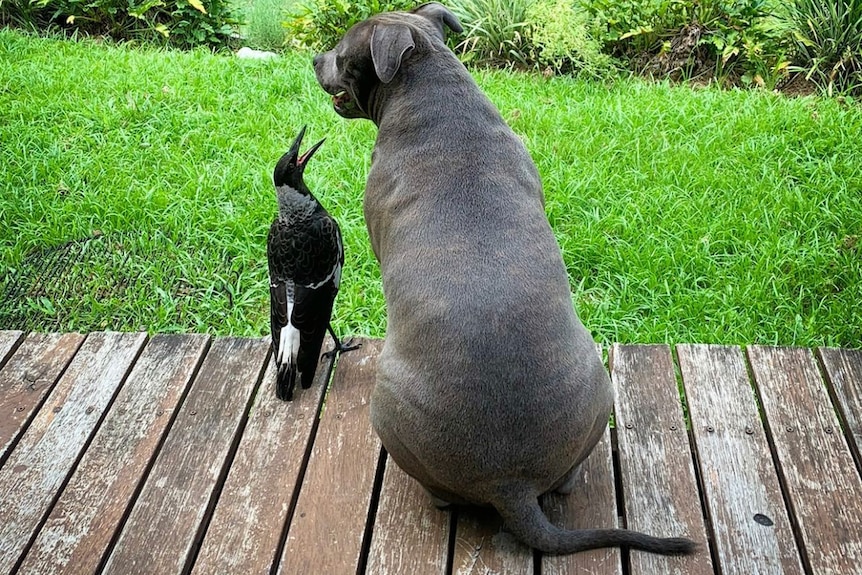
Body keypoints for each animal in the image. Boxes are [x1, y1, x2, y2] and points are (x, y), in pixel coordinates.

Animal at [314, 2, 700, 556]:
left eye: (342, 54)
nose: (314, 58)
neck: (431, 93)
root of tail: (509, 482)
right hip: (595, 383)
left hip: (386, 404)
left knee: (440, 493)